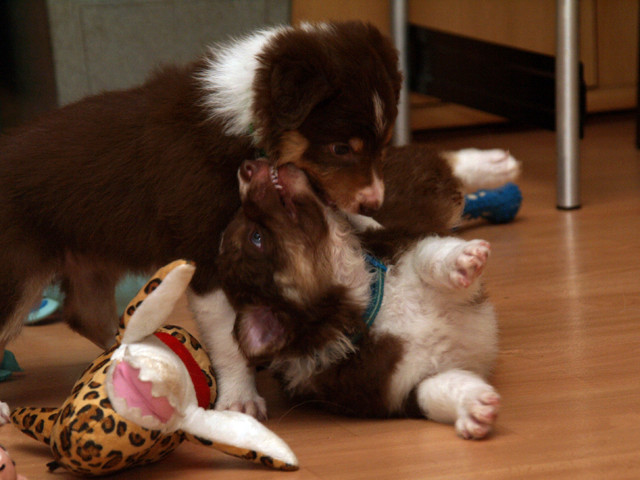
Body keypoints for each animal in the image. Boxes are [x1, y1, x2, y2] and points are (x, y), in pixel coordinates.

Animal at [0, 22, 401, 360]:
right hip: (17, 273)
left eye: (384, 147)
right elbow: (227, 338)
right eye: (340, 148)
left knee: (85, 313)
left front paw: (367, 224)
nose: (375, 202)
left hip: (90, 260)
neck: (245, 116)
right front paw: (240, 399)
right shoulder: (204, 244)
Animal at [199, 145, 517, 435]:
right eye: (256, 238)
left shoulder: (405, 243)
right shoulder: (399, 391)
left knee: (437, 165)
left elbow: (429, 258)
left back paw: (496, 164)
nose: (247, 167)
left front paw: (462, 261)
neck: (369, 304)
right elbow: (439, 390)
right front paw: (475, 407)